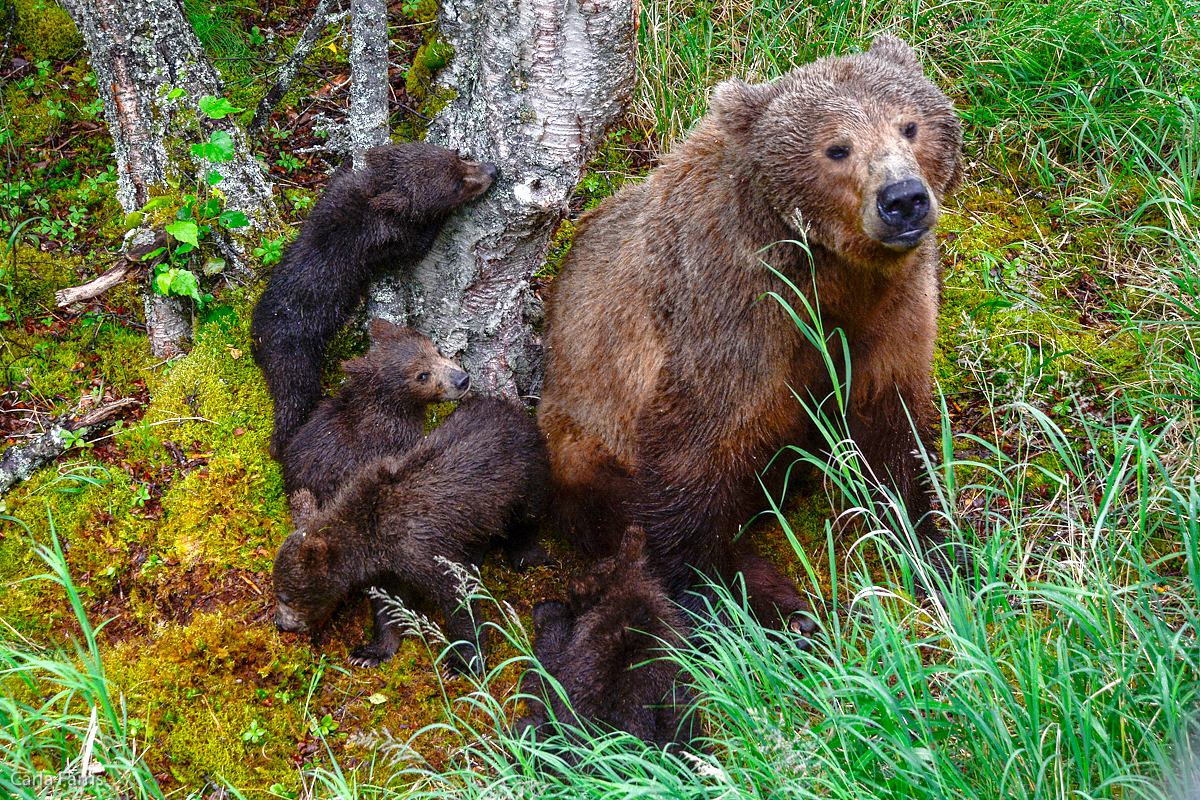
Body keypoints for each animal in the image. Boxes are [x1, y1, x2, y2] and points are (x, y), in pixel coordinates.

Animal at [540, 35, 969, 623]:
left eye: (910, 125)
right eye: (836, 148)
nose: (903, 198)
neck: (832, 275)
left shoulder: (893, 308)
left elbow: (890, 426)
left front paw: (937, 547)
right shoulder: (734, 312)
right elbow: (692, 458)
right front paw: (734, 597)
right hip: (583, 437)